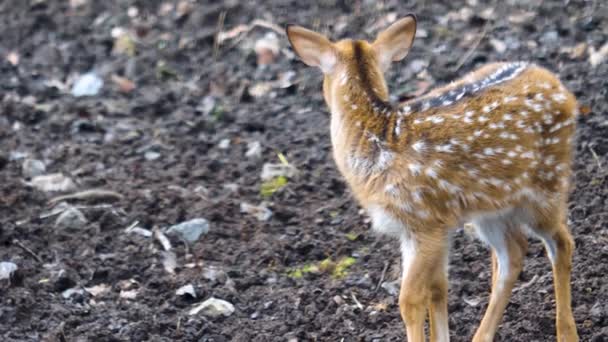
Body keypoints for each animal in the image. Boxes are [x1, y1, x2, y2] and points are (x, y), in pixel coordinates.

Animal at [284, 14, 580, 342]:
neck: (376, 143)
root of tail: (558, 85)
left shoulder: (423, 222)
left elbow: (410, 299)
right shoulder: (430, 227)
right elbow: (438, 288)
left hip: (546, 184)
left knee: (562, 242)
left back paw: (567, 333)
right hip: (491, 209)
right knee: (513, 253)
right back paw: (481, 336)